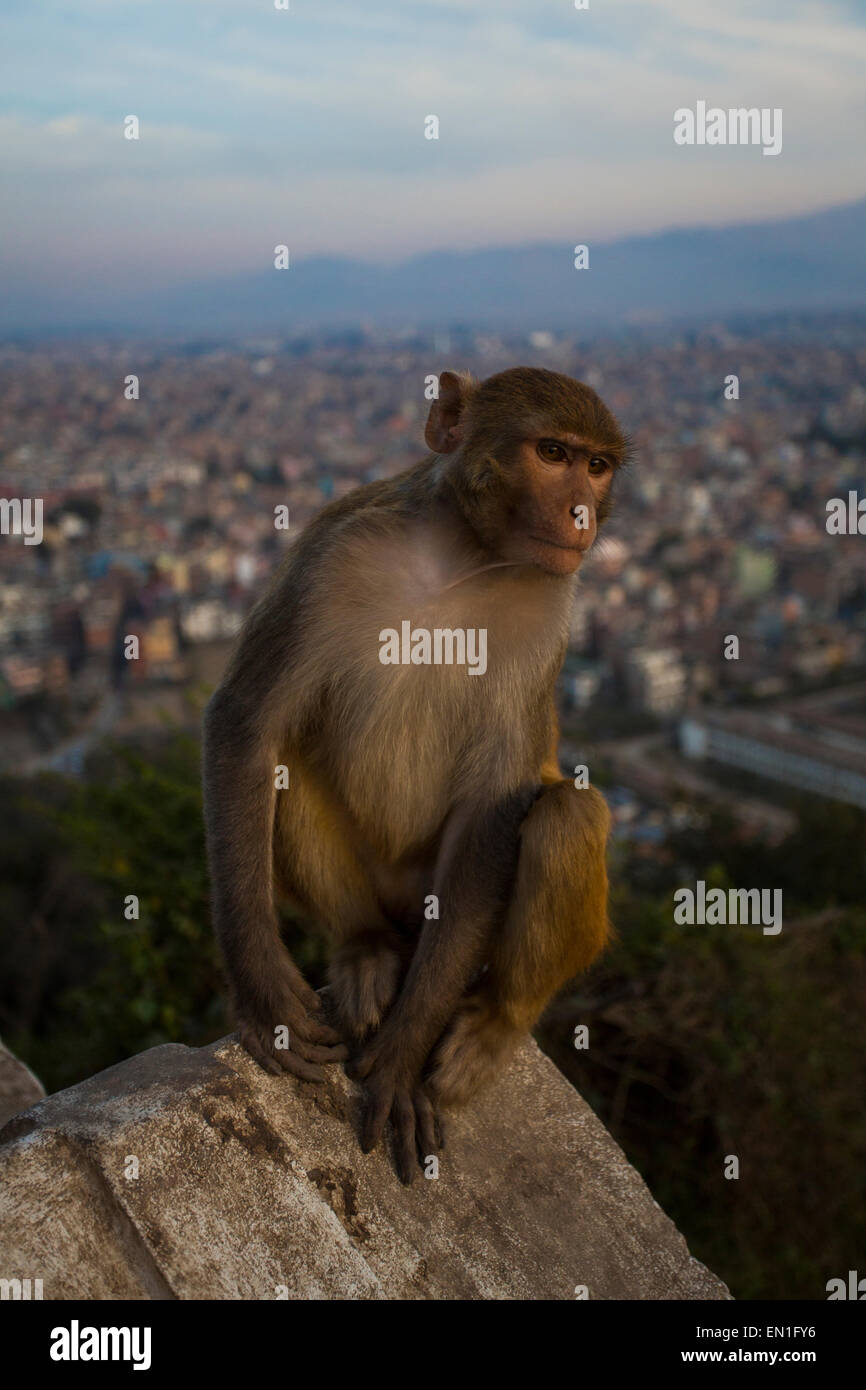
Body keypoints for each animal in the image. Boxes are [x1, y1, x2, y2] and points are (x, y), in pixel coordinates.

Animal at [202, 367, 627, 1184]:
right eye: (552, 453)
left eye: (597, 466)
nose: (582, 513)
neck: (459, 560)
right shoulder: (334, 555)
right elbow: (250, 724)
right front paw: (261, 987)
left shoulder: (549, 606)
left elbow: (492, 813)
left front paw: (401, 1058)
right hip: (380, 889)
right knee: (284, 764)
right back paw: (366, 950)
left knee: (567, 817)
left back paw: (493, 1025)